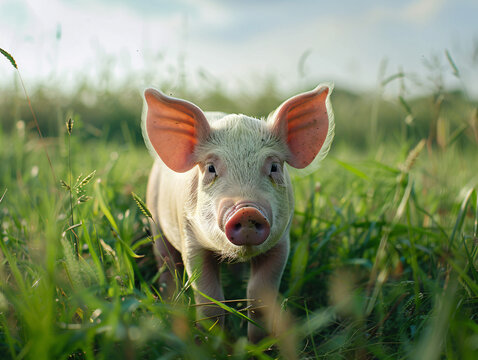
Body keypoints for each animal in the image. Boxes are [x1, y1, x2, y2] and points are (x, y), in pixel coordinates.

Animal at [143, 83, 332, 340]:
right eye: (211, 168)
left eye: (274, 167)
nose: (247, 210)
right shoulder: (190, 238)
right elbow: (210, 299)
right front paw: (212, 342)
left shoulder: (281, 243)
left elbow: (259, 295)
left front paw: (257, 343)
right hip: (155, 220)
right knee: (166, 263)